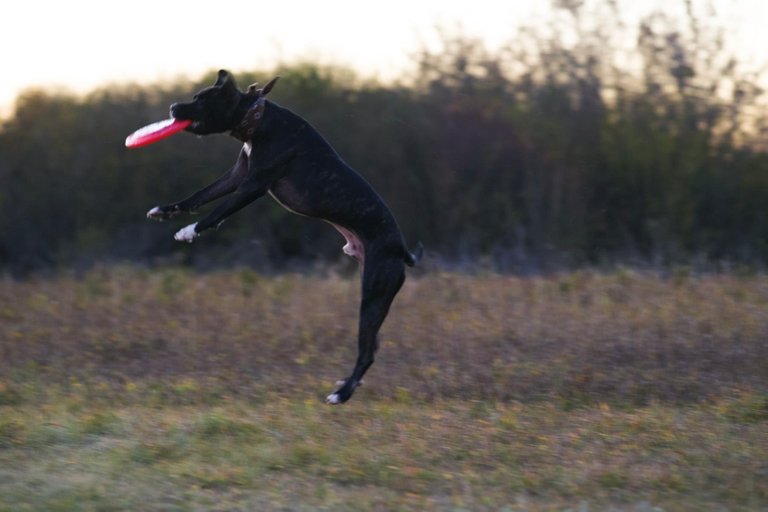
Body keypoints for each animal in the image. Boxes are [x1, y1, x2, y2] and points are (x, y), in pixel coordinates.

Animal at [144, 70, 420, 404]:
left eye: (201, 99)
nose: (173, 106)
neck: (256, 119)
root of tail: (402, 249)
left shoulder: (253, 185)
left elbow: (217, 212)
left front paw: (189, 231)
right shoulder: (236, 176)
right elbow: (199, 196)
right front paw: (164, 210)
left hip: (374, 295)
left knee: (367, 351)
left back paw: (341, 394)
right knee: (373, 345)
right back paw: (345, 386)